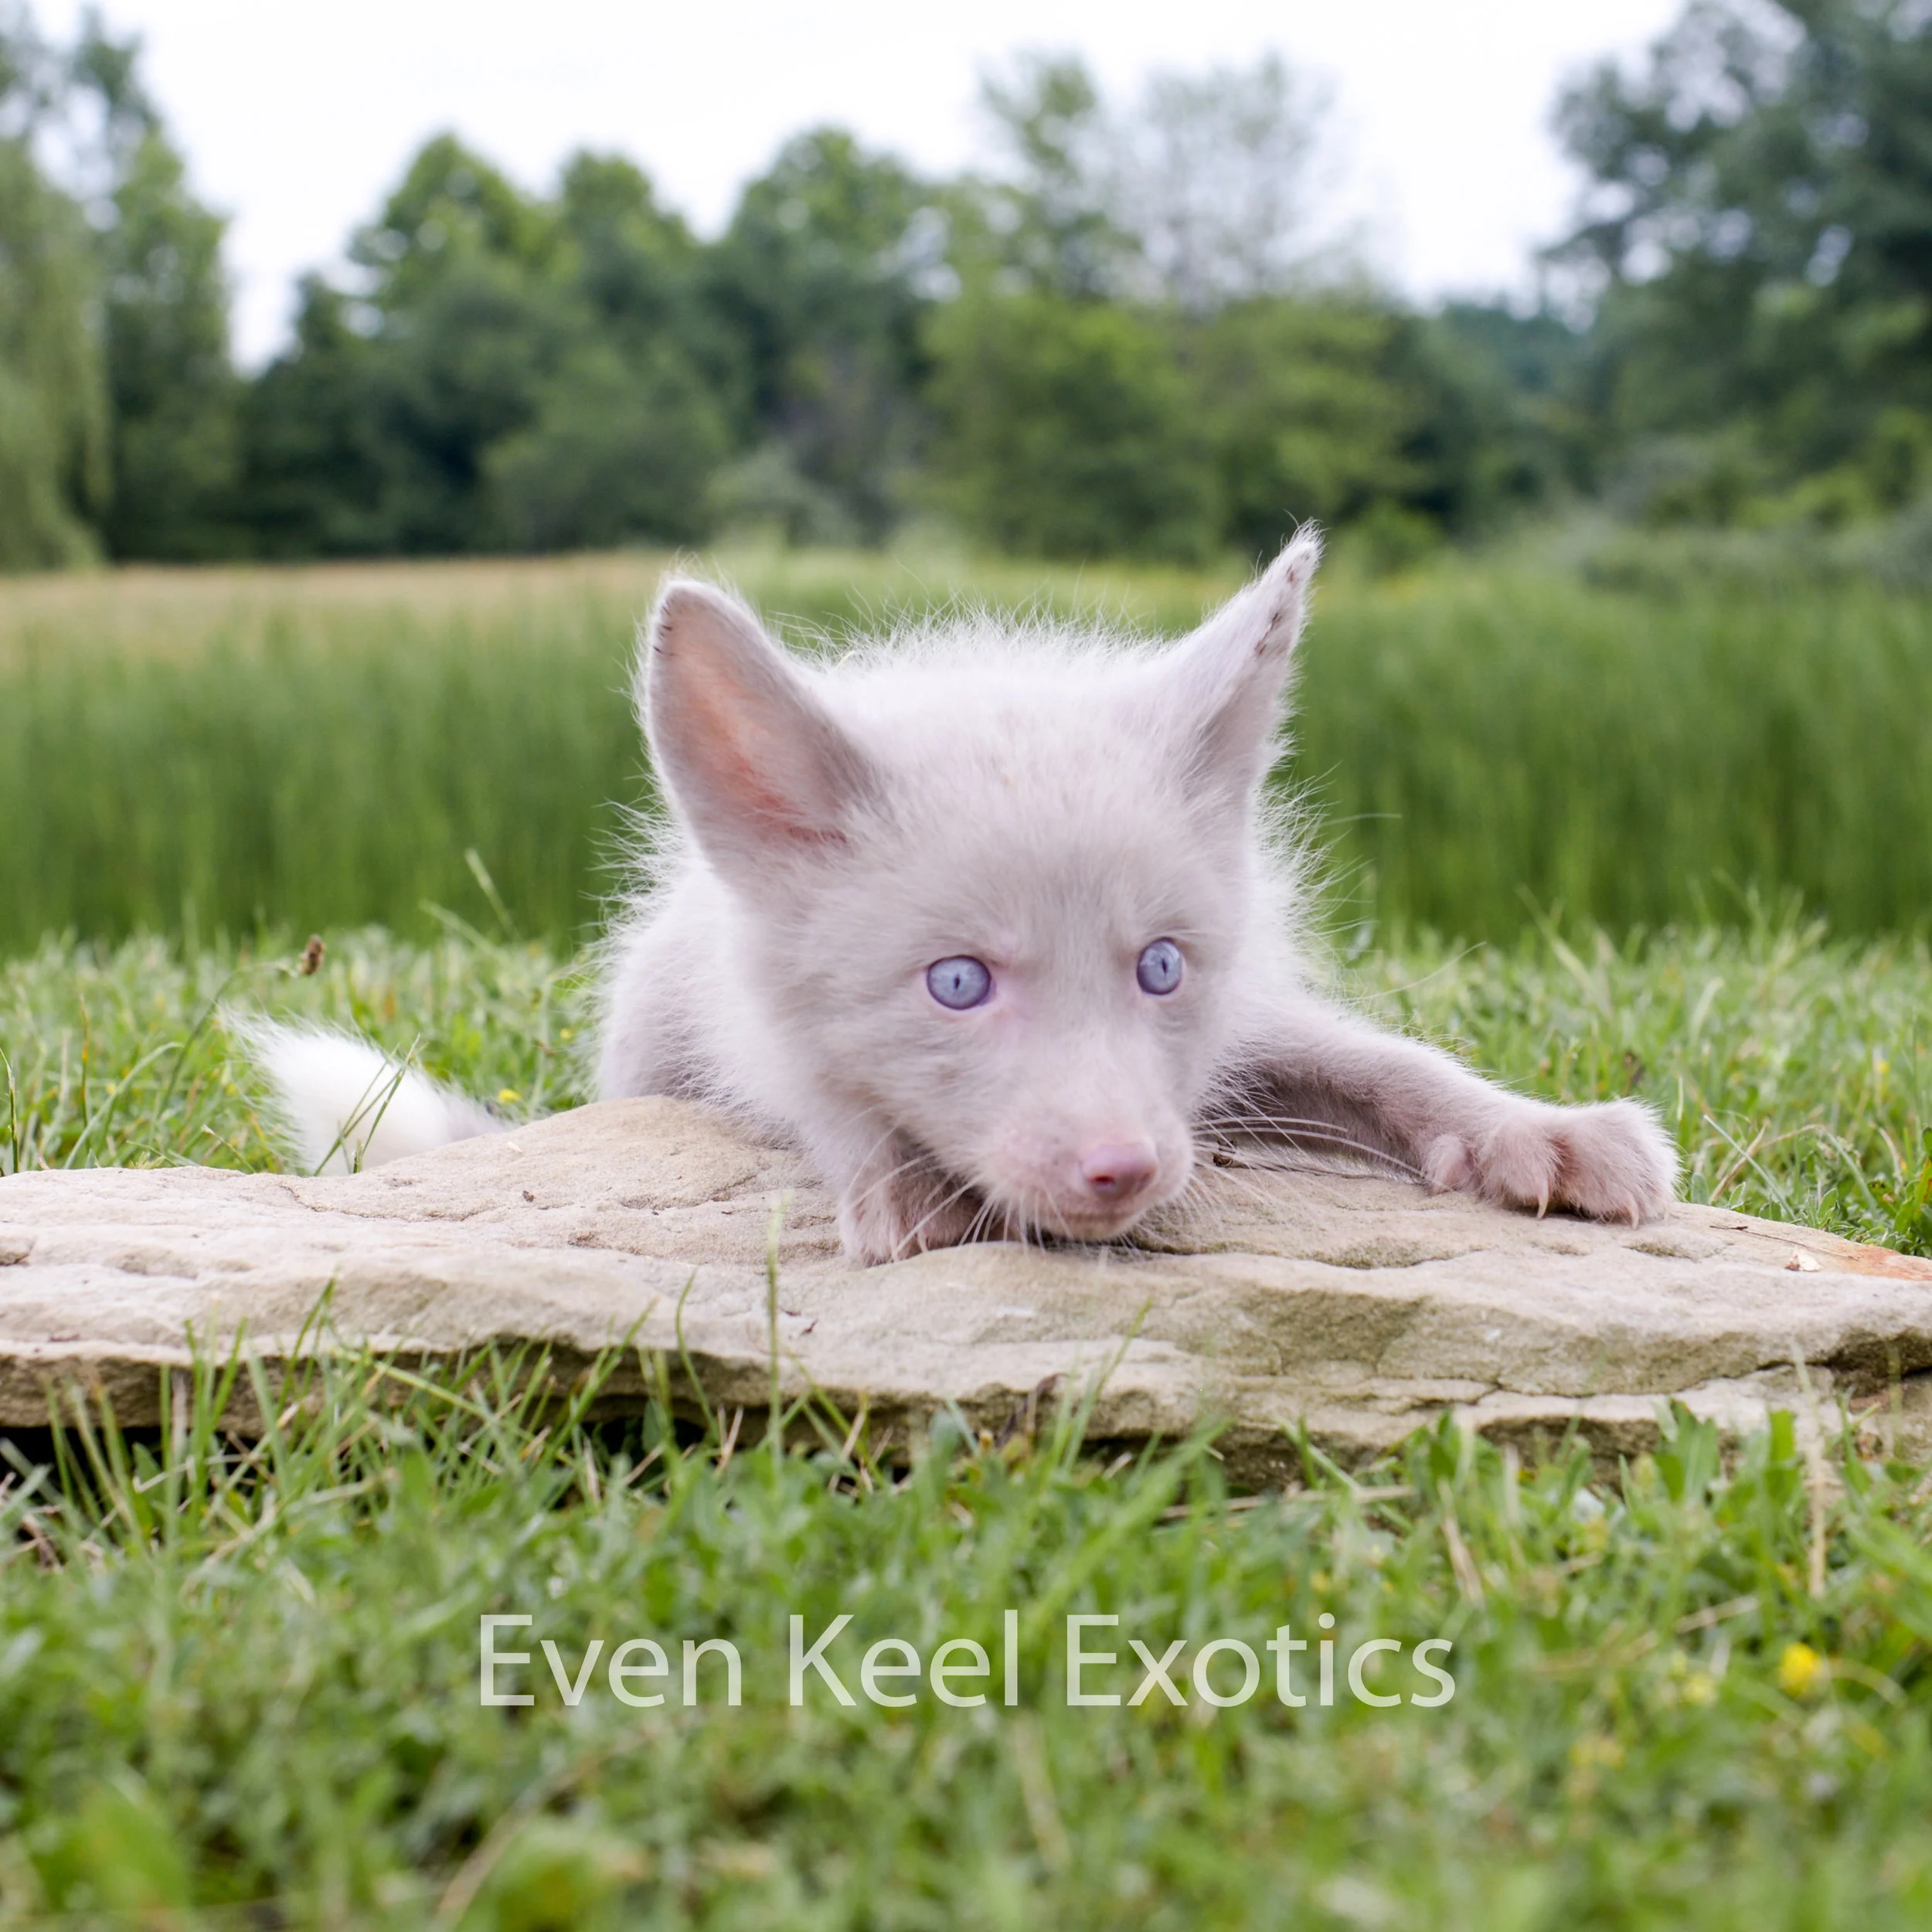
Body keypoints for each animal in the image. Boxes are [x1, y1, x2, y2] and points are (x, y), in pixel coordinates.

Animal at [254, 530, 1677, 1263]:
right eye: (956, 984)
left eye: (1163, 967)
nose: (1123, 1171)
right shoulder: (742, 1025)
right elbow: (819, 1087)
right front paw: (899, 1184)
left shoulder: (1244, 1021)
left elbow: (1369, 1054)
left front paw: (1539, 1132)